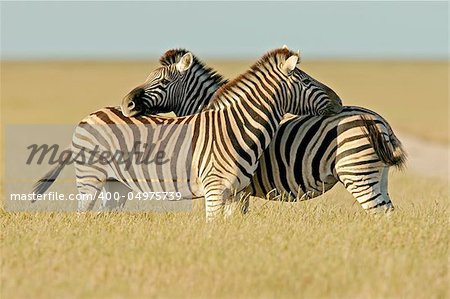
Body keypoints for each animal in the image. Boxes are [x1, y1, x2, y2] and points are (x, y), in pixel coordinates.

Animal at [32, 47, 342, 220]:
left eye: (162, 81)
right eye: (306, 81)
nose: (338, 100)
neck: (237, 124)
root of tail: (87, 116)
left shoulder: (237, 192)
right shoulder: (220, 190)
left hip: (114, 183)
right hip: (92, 177)